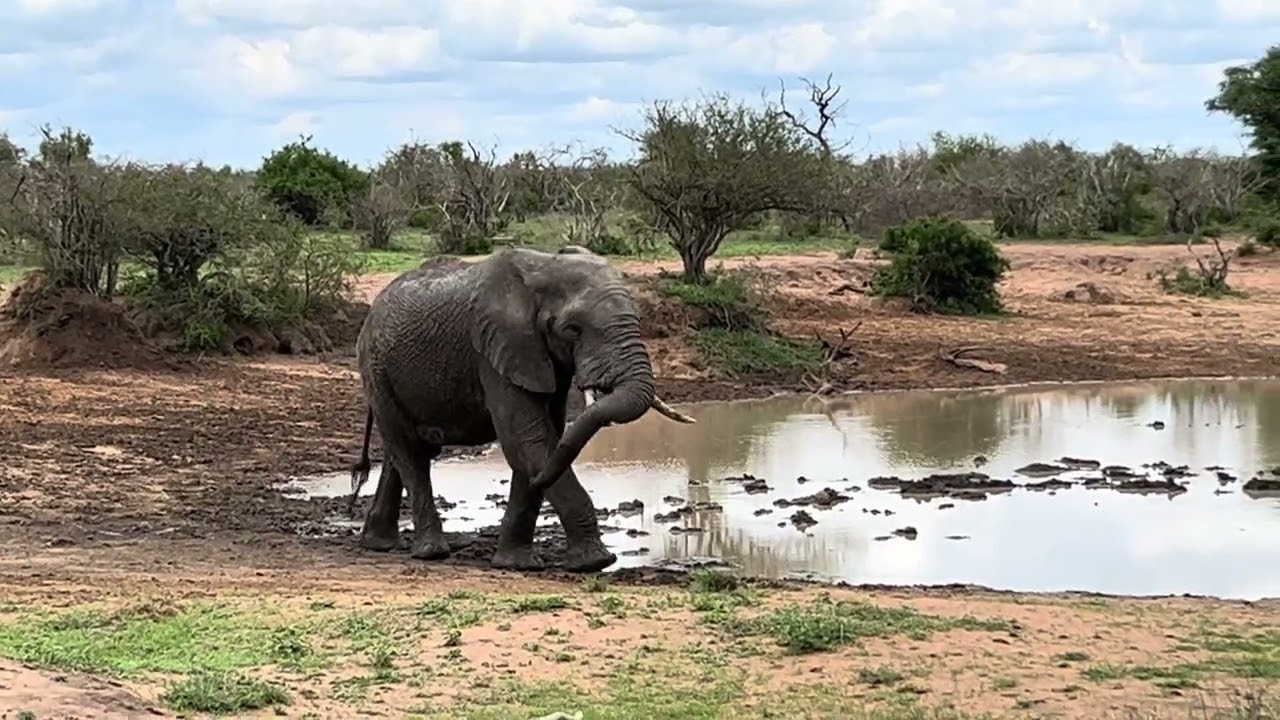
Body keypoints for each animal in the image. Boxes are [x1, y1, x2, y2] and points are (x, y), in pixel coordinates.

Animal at [346, 245, 696, 573]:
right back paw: (432, 552)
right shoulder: (494, 351)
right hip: (376, 368)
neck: (544, 267)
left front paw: (517, 564)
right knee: (410, 451)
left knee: (401, 452)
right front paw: (595, 563)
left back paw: (379, 544)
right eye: (573, 329)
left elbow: (541, 442)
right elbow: (528, 441)